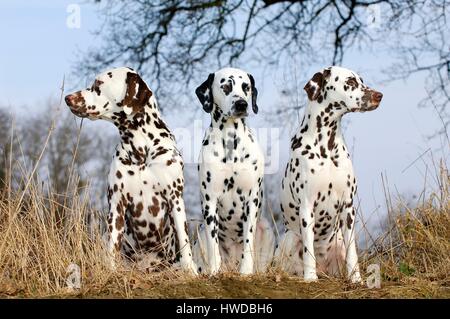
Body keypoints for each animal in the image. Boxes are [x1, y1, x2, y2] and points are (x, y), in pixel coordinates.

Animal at [64, 67, 197, 276]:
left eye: (98, 83)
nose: (67, 98)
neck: (141, 149)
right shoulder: (117, 205)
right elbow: (112, 247)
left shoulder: (175, 200)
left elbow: (184, 241)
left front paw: (191, 271)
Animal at [192, 67, 274, 276]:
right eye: (226, 86)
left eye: (246, 87)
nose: (242, 104)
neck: (230, 142)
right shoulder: (210, 200)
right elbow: (213, 245)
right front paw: (214, 271)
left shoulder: (252, 198)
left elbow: (248, 240)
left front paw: (246, 271)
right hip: (201, 230)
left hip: (267, 229)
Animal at [276, 67, 382, 282]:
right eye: (350, 82)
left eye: (361, 80)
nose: (379, 95)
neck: (327, 147)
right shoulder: (307, 207)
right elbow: (309, 250)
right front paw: (310, 278)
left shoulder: (348, 207)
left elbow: (352, 253)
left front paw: (356, 279)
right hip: (288, 239)